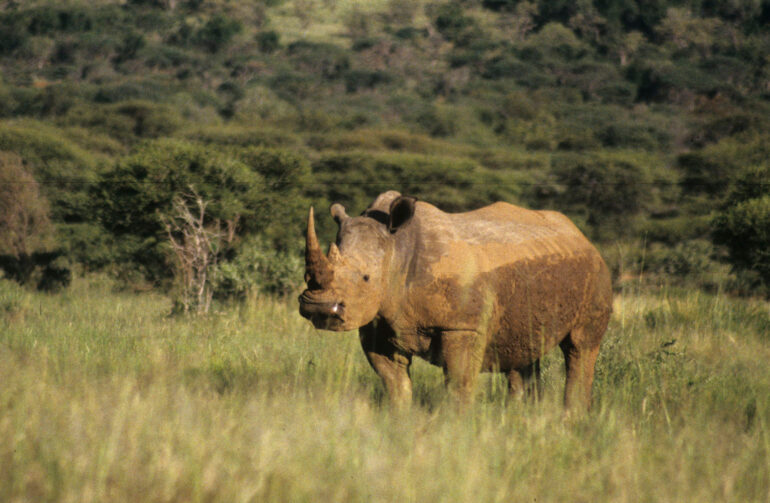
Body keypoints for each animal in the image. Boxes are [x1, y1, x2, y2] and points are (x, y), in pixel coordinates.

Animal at [298, 191, 612, 409]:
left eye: (366, 278)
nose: (319, 308)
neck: (397, 249)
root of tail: (582, 237)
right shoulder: (378, 326)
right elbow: (395, 384)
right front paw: (401, 421)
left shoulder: (461, 326)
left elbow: (458, 383)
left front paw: (455, 427)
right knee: (523, 350)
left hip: (596, 274)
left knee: (580, 348)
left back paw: (571, 418)